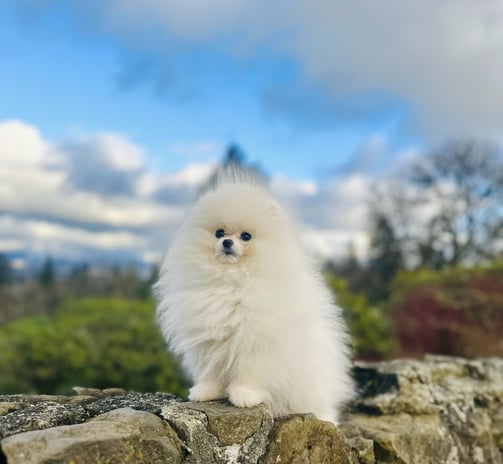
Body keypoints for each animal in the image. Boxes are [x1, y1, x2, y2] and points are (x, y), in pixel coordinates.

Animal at [154, 171, 354, 424]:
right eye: (219, 232)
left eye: (246, 236)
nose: (227, 242)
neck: (231, 281)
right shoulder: (209, 341)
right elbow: (211, 372)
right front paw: (205, 392)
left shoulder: (254, 340)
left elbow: (250, 373)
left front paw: (243, 396)